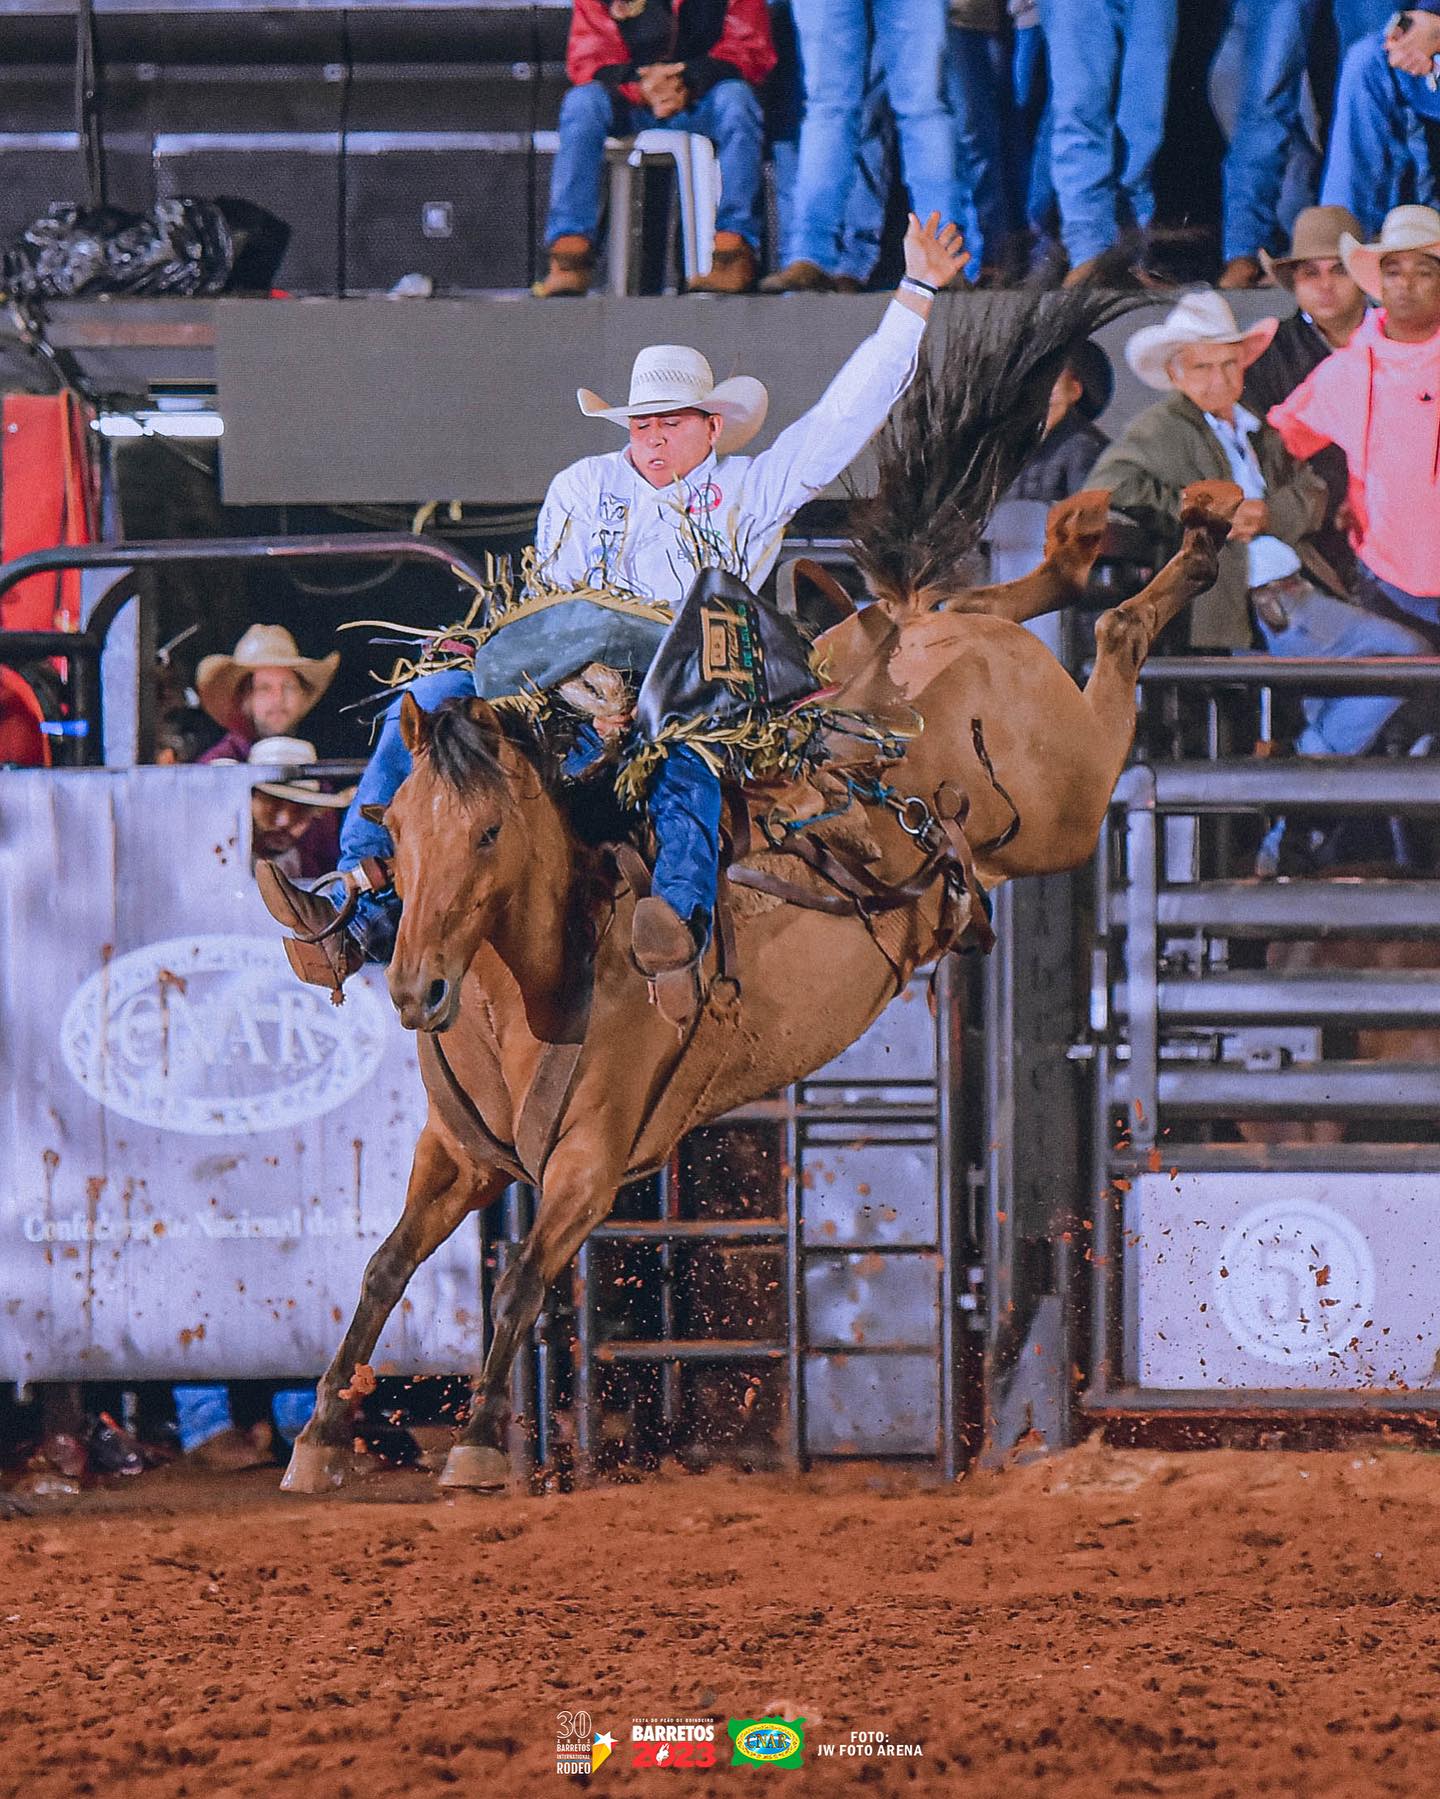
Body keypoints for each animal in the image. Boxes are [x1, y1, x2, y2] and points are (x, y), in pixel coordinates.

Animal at [284, 298, 1245, 1503]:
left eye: (491, 832)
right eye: (397, 827)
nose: (417, 990)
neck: (535, 975)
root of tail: (910, 681)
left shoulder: (591, 1162)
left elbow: (515, 1281)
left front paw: (475, 1441)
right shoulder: (454, 1153)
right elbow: (383, 1263)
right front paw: (322, 1428)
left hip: (1065, 801)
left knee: (1111, 639)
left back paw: (1197, 537)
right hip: (924, 665)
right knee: (972, 597)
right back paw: (1076, 546)